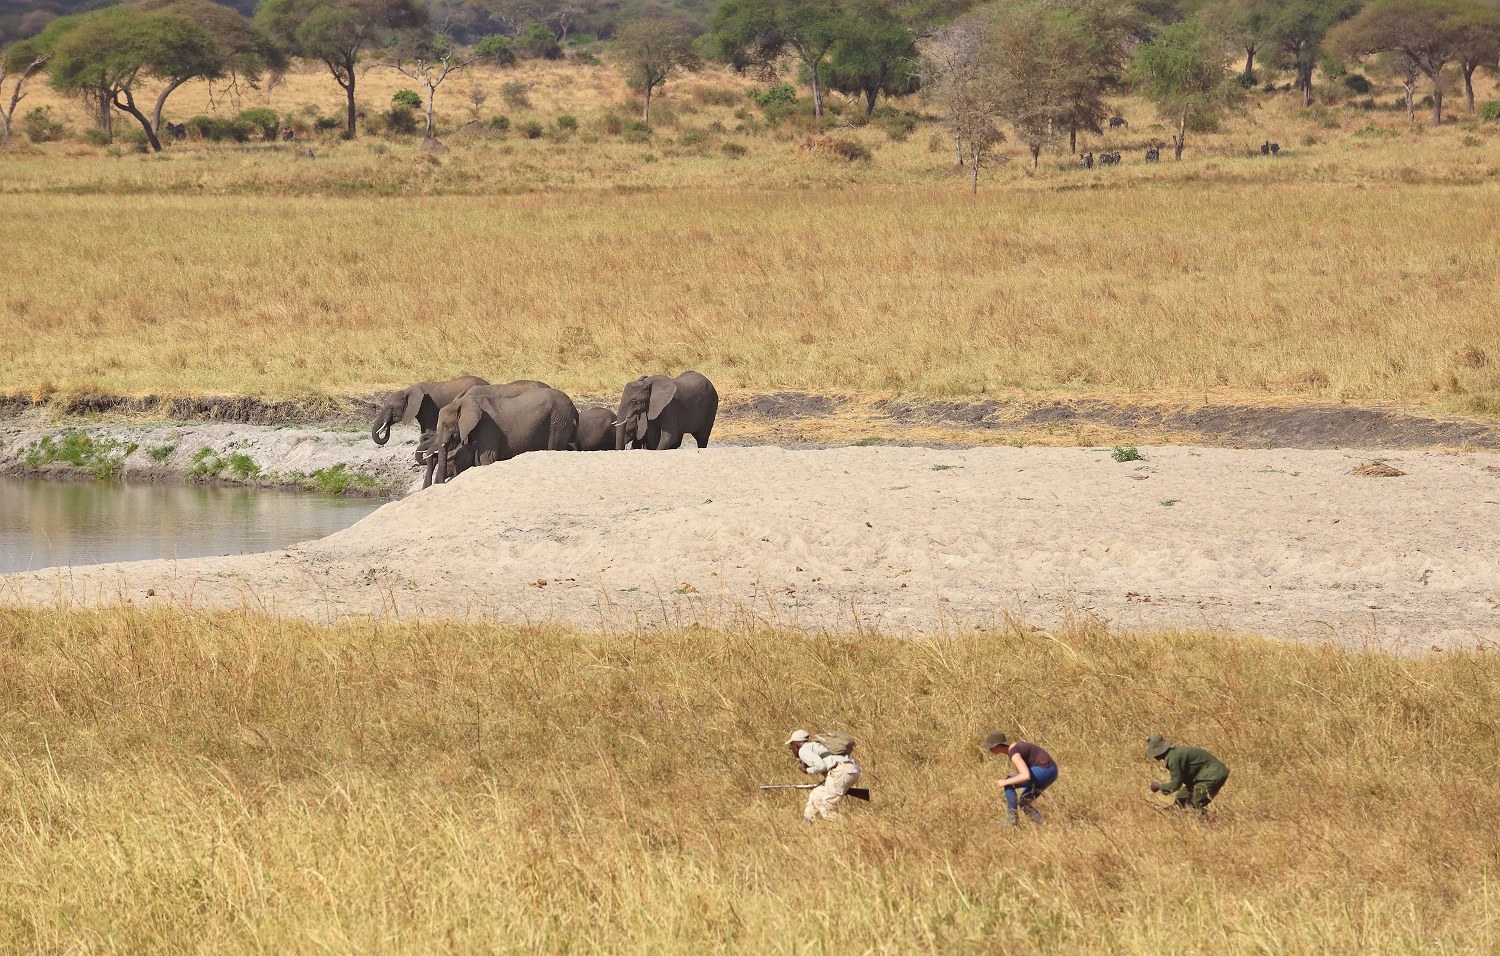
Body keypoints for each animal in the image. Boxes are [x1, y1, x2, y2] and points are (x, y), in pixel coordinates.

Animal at [431, 386, 579, 484]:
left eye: (447, 426)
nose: (442, 483)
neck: (464, 402)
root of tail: (574, 406)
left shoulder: (488, 426)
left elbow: (486, 458)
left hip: (559, 420)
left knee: (554, 446)